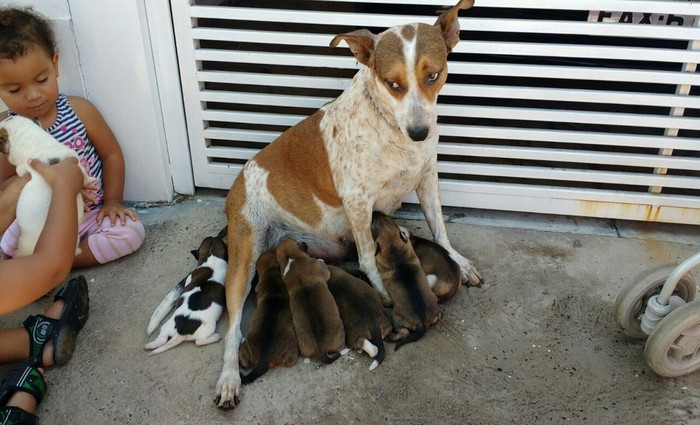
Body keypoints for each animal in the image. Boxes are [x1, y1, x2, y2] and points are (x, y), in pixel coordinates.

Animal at [372, 212, 438, 348]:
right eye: (389, 220)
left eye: (373, 225)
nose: (376, 213)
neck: (394, 249)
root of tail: (422, 323)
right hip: (434, 305)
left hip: (396, 317)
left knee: (404, 332)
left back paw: (390, 337)